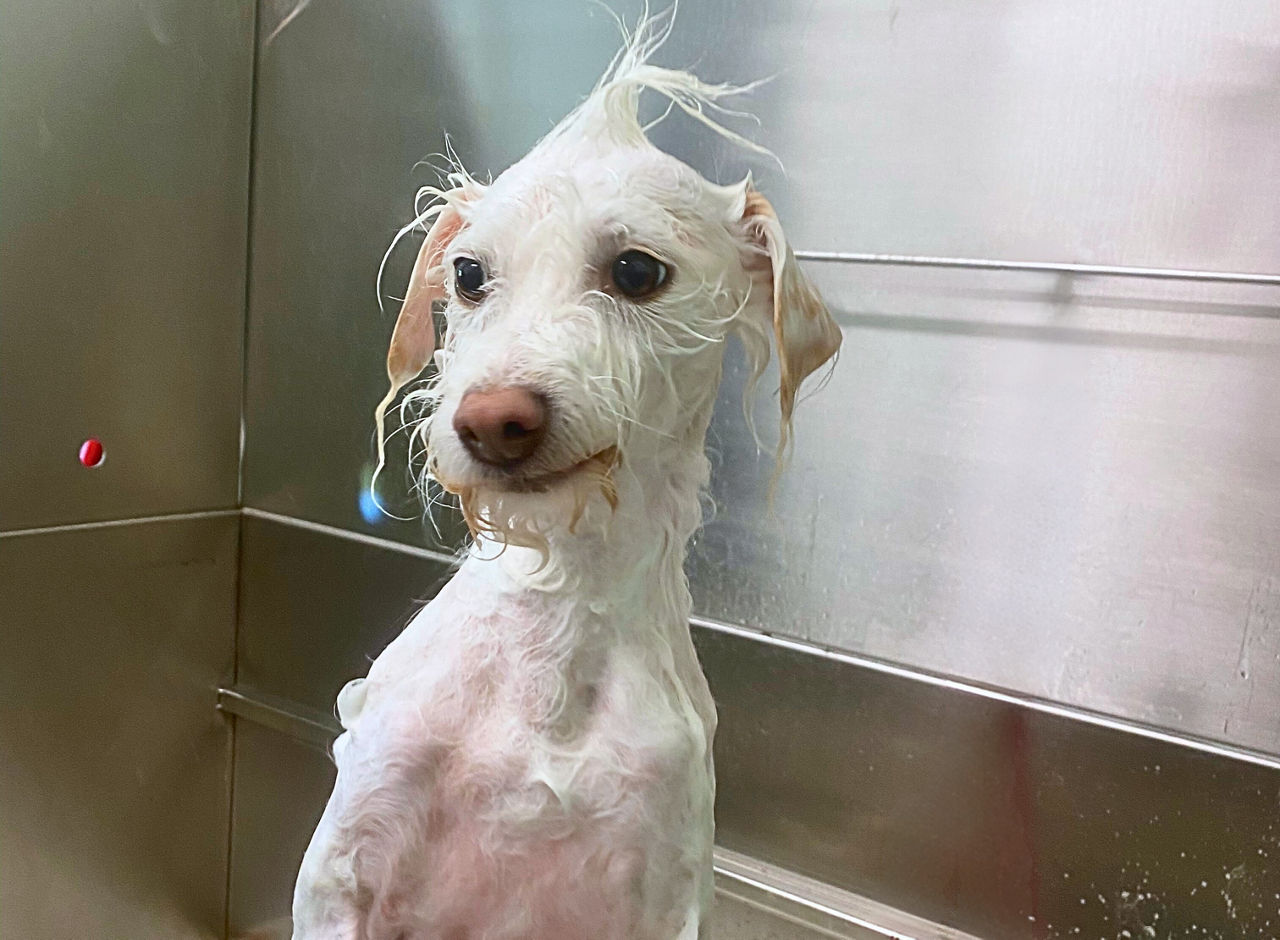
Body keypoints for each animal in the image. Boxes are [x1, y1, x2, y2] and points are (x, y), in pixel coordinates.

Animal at [290, 14, 839, 940]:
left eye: (638, 271)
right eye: (469, 274)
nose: (491, 421)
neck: (555, 625)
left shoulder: (660, 885)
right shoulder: (343, 870)